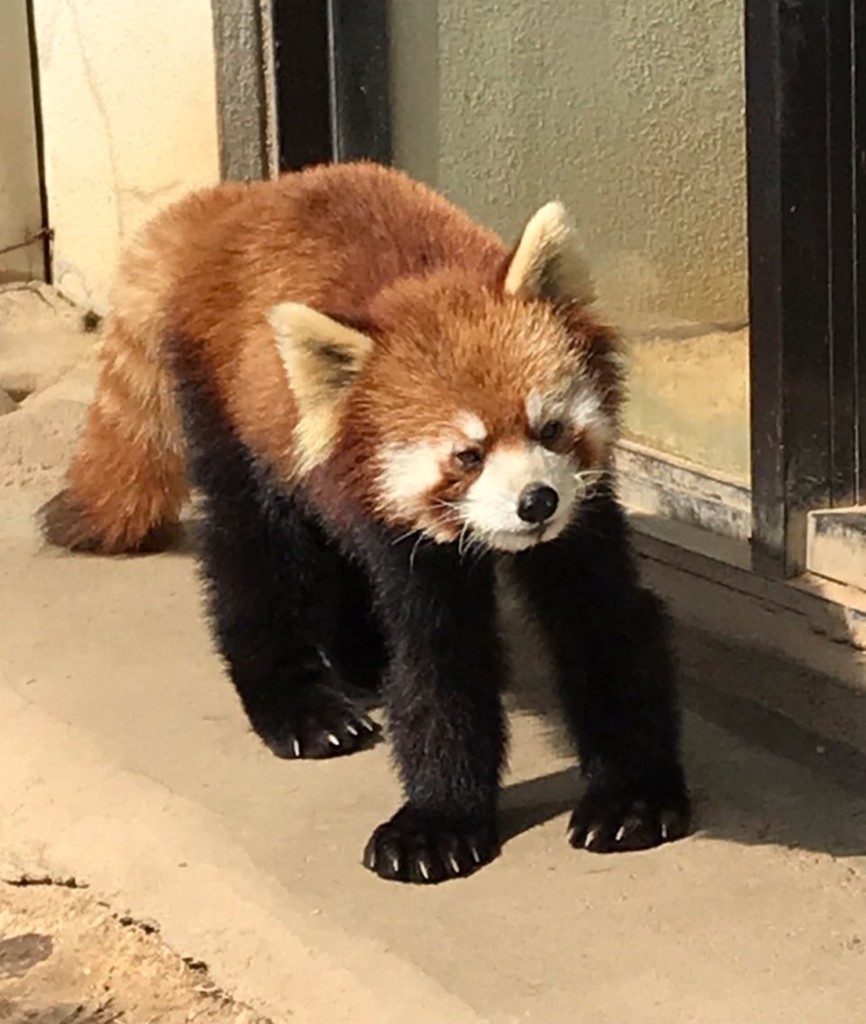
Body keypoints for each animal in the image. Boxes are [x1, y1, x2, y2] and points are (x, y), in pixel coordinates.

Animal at [40, 161, 691, 880]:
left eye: (549, 429)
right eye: (467, 456)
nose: (536, 502)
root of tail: (238, 201)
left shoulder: (584, 514)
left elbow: (605, 628)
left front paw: (631, 796)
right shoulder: (408, 536)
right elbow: (436, 659)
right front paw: (439, 822)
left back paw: (357, 654)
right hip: (231, 414)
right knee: (255, 552)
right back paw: (302, 706)